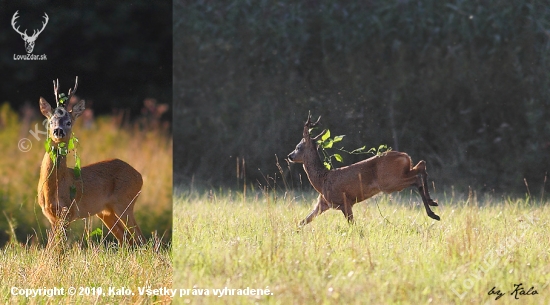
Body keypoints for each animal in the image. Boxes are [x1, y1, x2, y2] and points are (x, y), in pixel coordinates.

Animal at [38, 76, 146, 245]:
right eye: (51, 121)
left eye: (69, 122)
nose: (58, 131)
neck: (54, 186)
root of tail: (139, 176)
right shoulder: (51, 216)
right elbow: (51, 246)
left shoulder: (68, 212)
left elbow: (60, 247)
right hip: (106, 212)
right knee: (126, 240)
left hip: (125, 202)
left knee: (141, 239)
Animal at [288, 114, 440, 226]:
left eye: (298, 147)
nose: (290, 156)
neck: (321, 181)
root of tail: (405, 156)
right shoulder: (323, 204)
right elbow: (302, 222)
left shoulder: (345, 201)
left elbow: (353, 226)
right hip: (399, 175)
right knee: (421, 165)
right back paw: (432, 203)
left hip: (390, 182)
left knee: (416, 178)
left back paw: (433, 213)